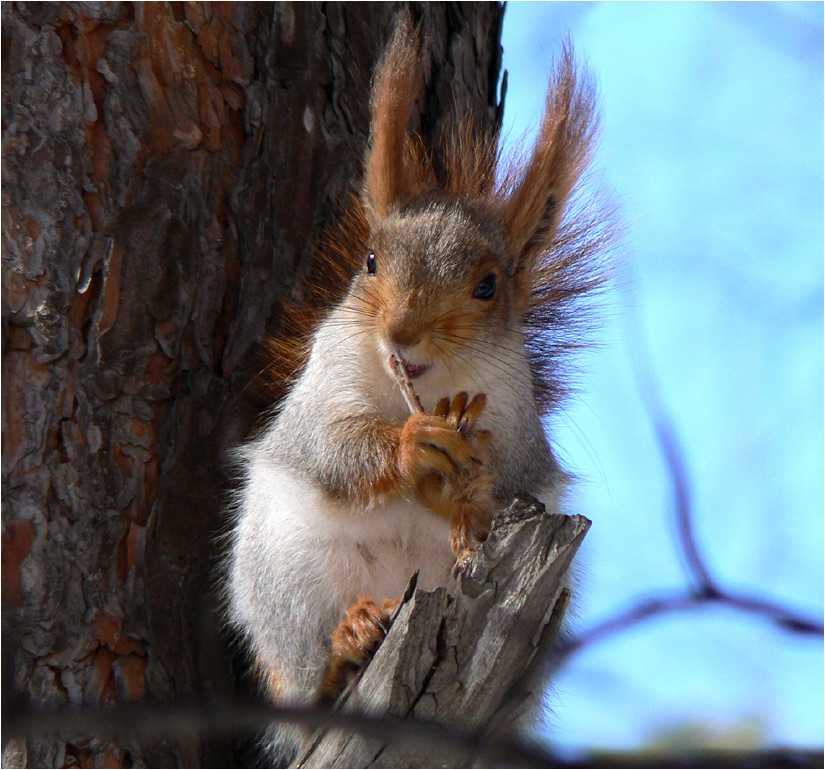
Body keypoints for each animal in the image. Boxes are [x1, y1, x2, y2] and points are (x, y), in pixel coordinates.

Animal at [225, 12, 604, 760]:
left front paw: (466, 491)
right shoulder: (324, 379)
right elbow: (327, 443)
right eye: (371, 261)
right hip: (285, 576)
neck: (430, 389)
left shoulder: (514, 414)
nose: (402, 335)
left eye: (488, 285)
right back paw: (347, 642)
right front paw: (410, 448)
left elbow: (514, 480)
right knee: (305, 671)